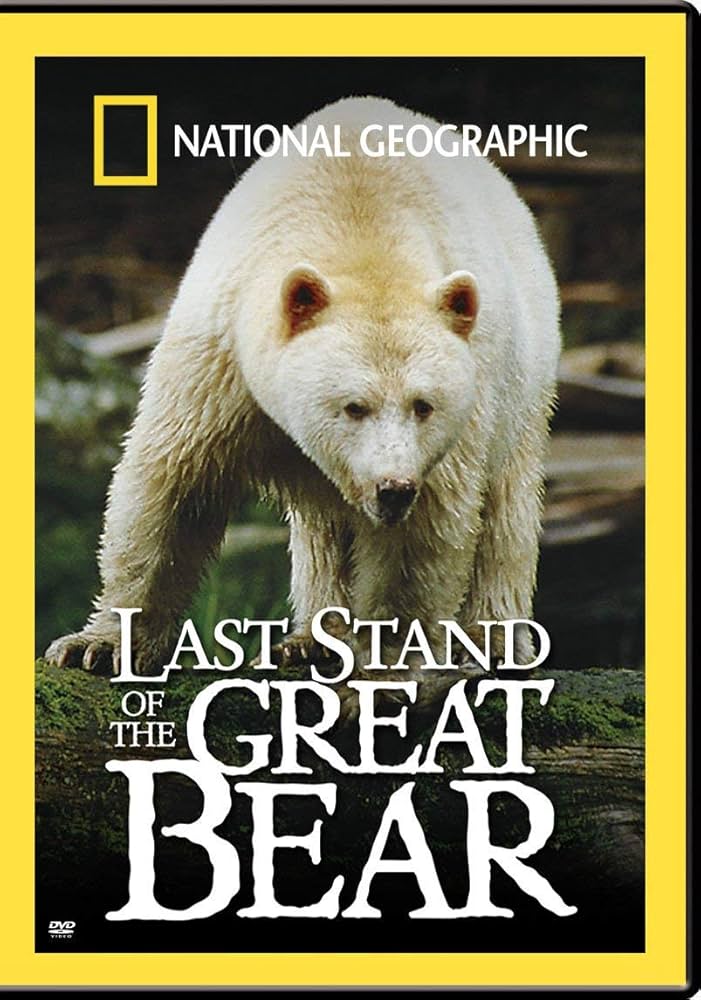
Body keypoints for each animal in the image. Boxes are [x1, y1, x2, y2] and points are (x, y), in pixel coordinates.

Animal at [45, 96, 560, 678]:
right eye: (354, 406)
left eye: (423, 405)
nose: (393, 488)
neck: (359, 228)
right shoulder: (220, 361)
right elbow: (171, 491)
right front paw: (99, 645)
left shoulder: (452, 434)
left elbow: (420, 540)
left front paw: (383, 668)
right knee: (324, 529)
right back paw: (313, 638)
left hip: (523, 383)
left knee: (506, 511)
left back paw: (490, 643)